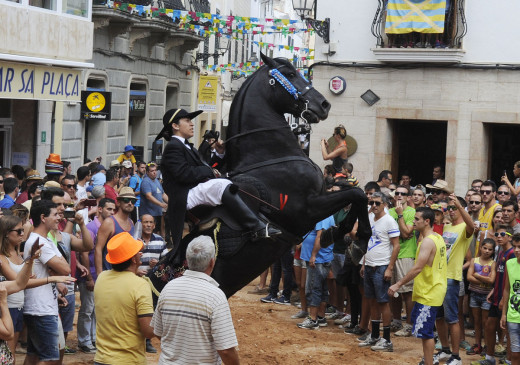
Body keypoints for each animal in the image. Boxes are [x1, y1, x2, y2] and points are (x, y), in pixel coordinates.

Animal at [148, 54, 372, 298]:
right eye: (291, 74)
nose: (324, 104)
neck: (270, 156)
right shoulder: (307, 209)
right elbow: (357, 194)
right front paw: (358, 241)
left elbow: (357, 194)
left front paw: (339, 234)